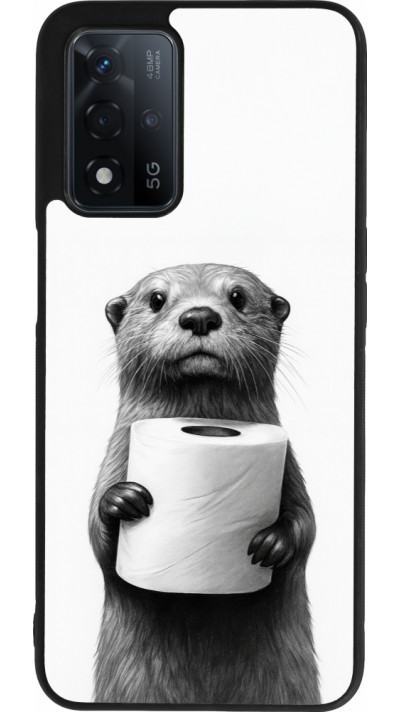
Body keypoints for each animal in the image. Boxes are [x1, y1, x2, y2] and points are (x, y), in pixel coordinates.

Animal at [89, 263, 319, 704]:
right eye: (156, 299)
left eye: (238, 297)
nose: (199, 316)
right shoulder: (115, 458)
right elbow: (96, 537)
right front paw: (122, 501)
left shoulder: (290, 468)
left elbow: (307, 525)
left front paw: (273, 542)